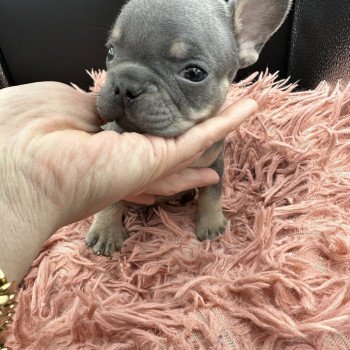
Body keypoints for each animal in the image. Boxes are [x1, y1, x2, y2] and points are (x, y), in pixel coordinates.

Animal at [85, 0, 292, 258]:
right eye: (111, 52)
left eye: (194, 73)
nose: (125, 85)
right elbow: (112, 200)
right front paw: (106, 230)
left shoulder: (215, 163)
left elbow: (212, 195)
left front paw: (212, 224)